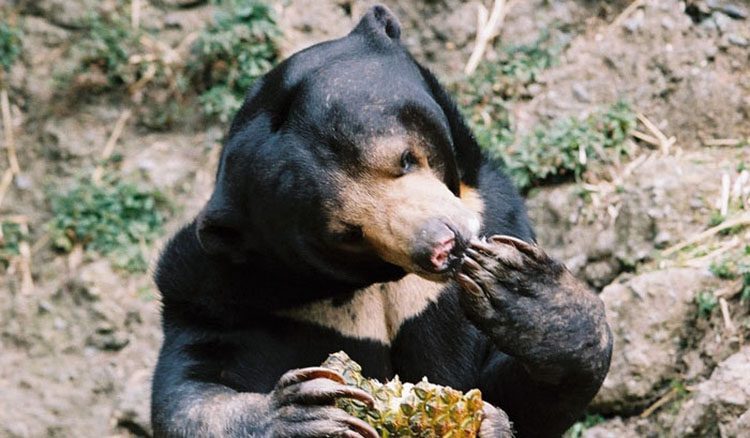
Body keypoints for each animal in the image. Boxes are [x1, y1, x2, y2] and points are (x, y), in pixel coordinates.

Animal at [150, 5, 612, 436]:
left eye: (405, 159)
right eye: (347, 234)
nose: (444, 247)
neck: (382, 279)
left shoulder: (498, 211)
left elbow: (517, 396)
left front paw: (520, 288)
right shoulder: (218, 291)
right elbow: (188, 392)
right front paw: (304, 413)